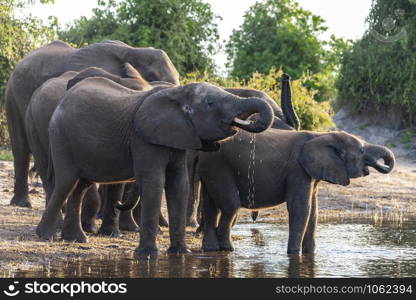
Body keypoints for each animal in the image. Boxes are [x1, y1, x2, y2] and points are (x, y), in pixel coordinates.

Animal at [36, 78, 276, 256]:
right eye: (210, 103)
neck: (178, 93)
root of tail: (62, 100)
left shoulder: (178, 137)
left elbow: (179, 184)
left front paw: (181, 253)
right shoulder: (144, 139)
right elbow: (154, 182)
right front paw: (148, 255)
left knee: (80, 186)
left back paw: (76, 239)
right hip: (60, 136)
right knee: (66, 182)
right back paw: (45, 236)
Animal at [198, 127, 394, 254]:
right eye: (361, 150)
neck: (322, 134)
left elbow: (313, 212)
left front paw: (310, 254)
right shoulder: (297, 170)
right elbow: (300, 208)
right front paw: (294, 254)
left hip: (211, 168)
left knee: (210, 205)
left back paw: (211, 249)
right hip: (220, 166)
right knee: (231, 205)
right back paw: (228, 249)